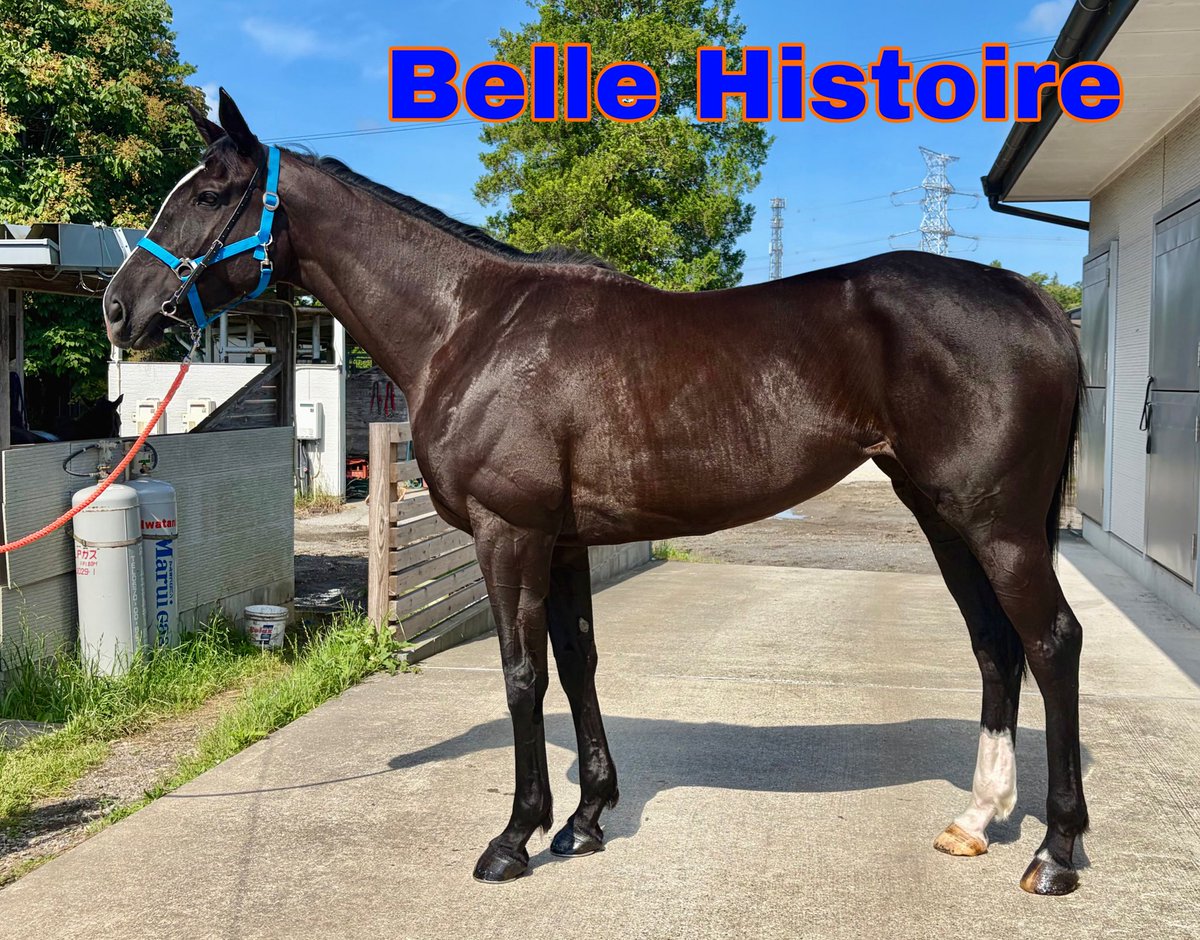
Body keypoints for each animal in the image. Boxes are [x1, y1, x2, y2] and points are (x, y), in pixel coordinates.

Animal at [102, 90, 1088, 896]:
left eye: (206, 194)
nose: (117, 307)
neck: (471, 324)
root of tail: (1030, 298)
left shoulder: (508, 534)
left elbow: (522, 673)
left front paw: (513, 838)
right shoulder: (564, 538)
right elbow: (577, 662)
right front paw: (583, 821)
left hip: (996, 524)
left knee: (1049, 642)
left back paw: (1055, 852)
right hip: (943, 515)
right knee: (995, 647)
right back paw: (978, 819)